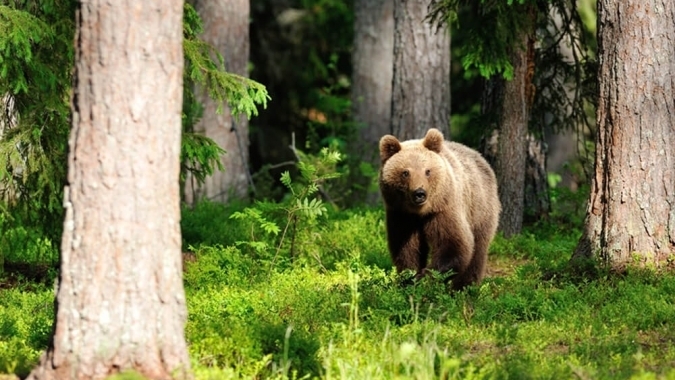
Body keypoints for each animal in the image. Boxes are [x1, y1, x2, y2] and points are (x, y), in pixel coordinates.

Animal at [380, 127, 502, 290]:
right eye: (405, 172)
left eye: (427, 171)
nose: (419, 193)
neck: (420, 212)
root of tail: (478, 155)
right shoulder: (401, 214)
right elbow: (406, 247)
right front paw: (409, 278)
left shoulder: (444, 209)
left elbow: (454, 244)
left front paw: (427, 276)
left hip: (480, 208)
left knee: (479, 247)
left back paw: (464, 286)